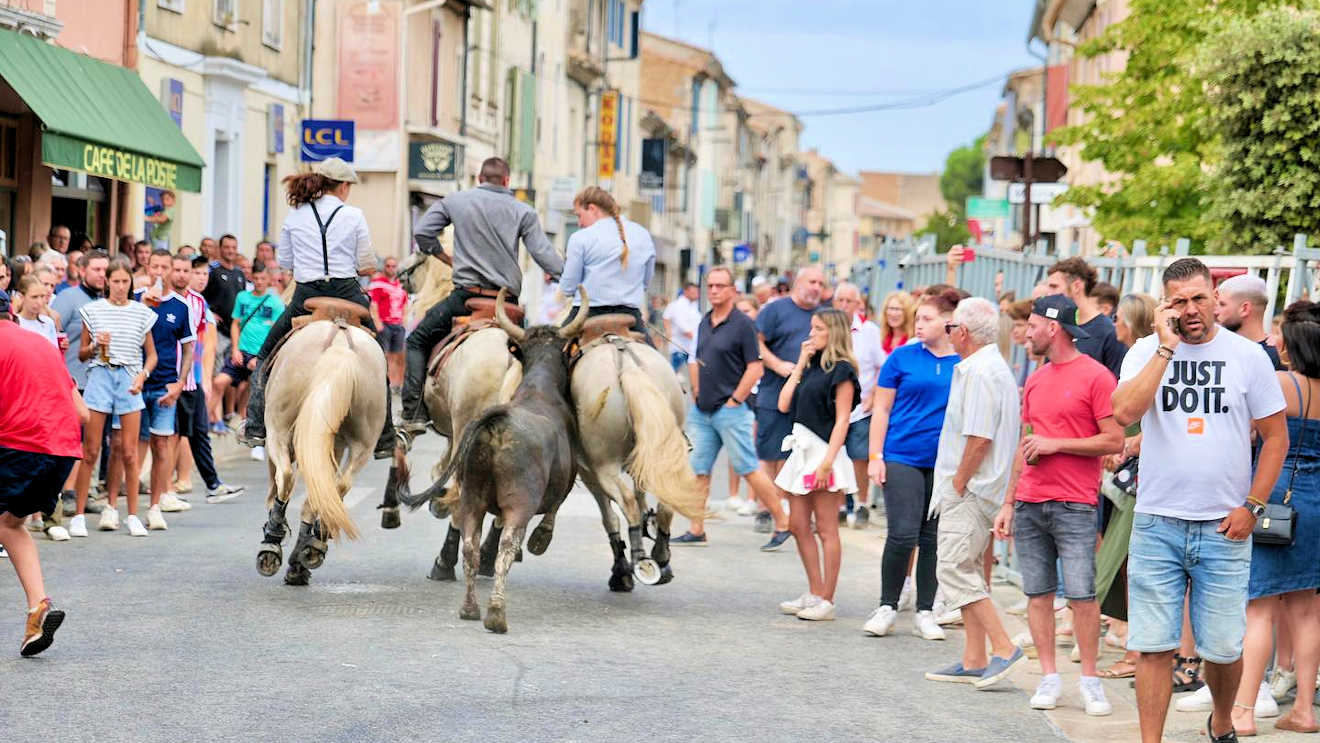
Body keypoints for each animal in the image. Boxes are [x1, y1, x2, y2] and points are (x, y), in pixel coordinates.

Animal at [398, 287, 586, 630]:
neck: (539, 390)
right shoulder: (563, 482)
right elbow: (552, 510)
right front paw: (539, 541)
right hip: (513, 499)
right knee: (501, 544)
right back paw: (491, 607)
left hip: (477, 483)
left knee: (474, 537)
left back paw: (470, 599)